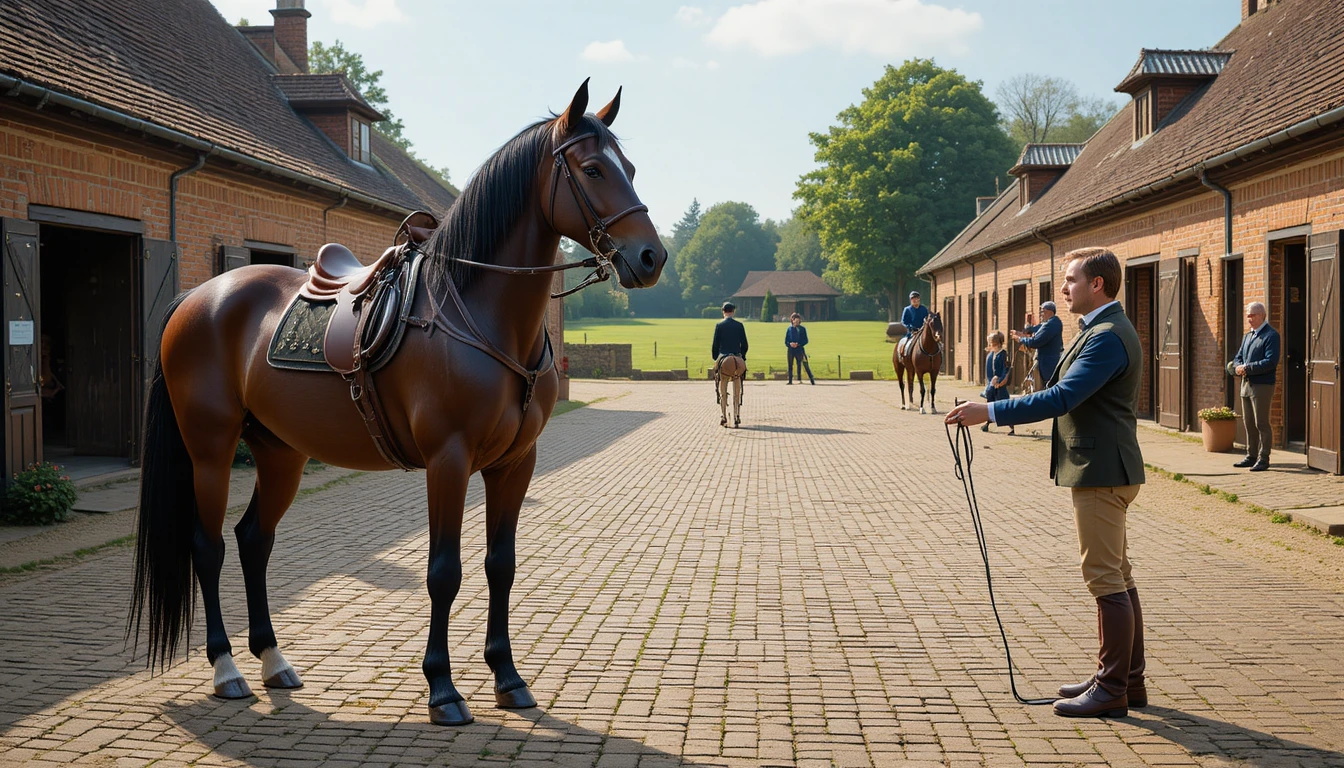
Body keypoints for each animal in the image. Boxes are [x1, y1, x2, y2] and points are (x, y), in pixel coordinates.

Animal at [127, 80, 666, 726]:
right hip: (210, 449)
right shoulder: (448, 460)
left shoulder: (515, 464)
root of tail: (196, 298)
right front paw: (443, 689)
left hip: (280, 451)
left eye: (629, 167)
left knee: (254, 540)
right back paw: (226, 669)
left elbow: (501, 566)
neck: (478, 311)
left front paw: (508, 679)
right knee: (207, 548)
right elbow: (444, 573)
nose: (651, 258)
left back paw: (274, 661)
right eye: (592, 169)